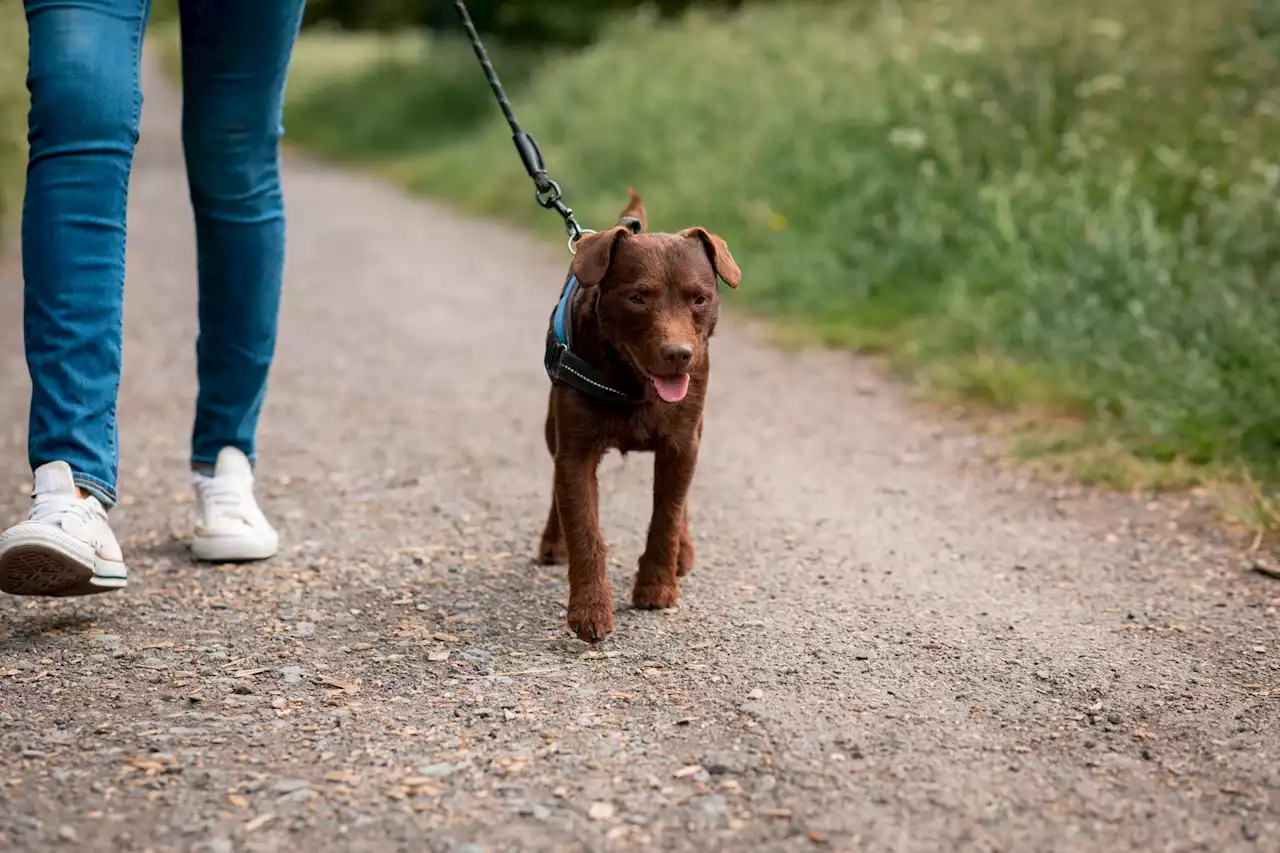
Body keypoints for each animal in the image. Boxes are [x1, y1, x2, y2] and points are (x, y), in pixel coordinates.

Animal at [537, 188, 742, 637]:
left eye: (699, 298)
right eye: (637, 298)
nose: (679, 354)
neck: (633, 385)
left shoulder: (682, 444)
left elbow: (667, 514)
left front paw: (656, 586)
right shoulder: (575, 451)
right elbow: (583, 526)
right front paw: (589, 610)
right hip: (551, 429)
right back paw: (552, 543)